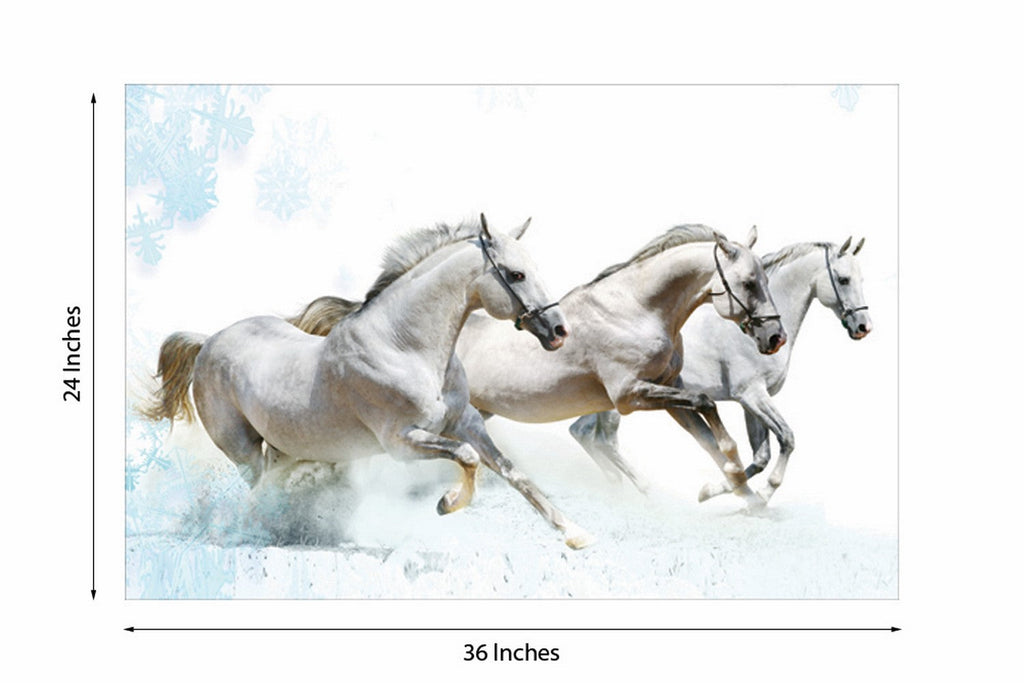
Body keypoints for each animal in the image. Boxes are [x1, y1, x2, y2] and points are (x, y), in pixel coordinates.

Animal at [142, 215, 598, 549]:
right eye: (516, 274)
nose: (559, 330)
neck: (404, 346)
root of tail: (208, 341)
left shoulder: (466, 422)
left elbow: (512, 472)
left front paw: (576, 534)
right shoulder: (401, 442)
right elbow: (468, 458)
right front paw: (447, 504)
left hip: (285, 446)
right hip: (242, 450)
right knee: (259, 488)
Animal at [290, 225, 787, 507]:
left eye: (765, 278)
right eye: (748, 282)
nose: (774, 338)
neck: (637, 309)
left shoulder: (665, 392)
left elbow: (709, 433)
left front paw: (743, 497)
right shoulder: (631, 396)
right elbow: (708, 406)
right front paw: (736, 482)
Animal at [570, 236, 871, 504]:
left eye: (861, 279)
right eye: (844, 279)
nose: (863, 327)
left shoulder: (751, 401)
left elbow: (760, 456)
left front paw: (718, 491)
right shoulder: (752, 395)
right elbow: (786, 438)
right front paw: (760, 494)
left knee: (582, 431)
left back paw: (616, 486)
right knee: (604, 439)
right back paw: (643, 490)